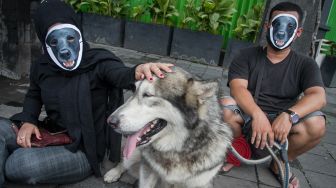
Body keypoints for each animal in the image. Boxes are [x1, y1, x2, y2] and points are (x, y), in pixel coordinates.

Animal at [103, 67, 232, 187]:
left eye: (148, 95)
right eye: (134, 90)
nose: (109, 121)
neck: (176, 150)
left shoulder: (200, 182)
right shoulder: (148, 171)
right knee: (123, 161)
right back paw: (113, 173)